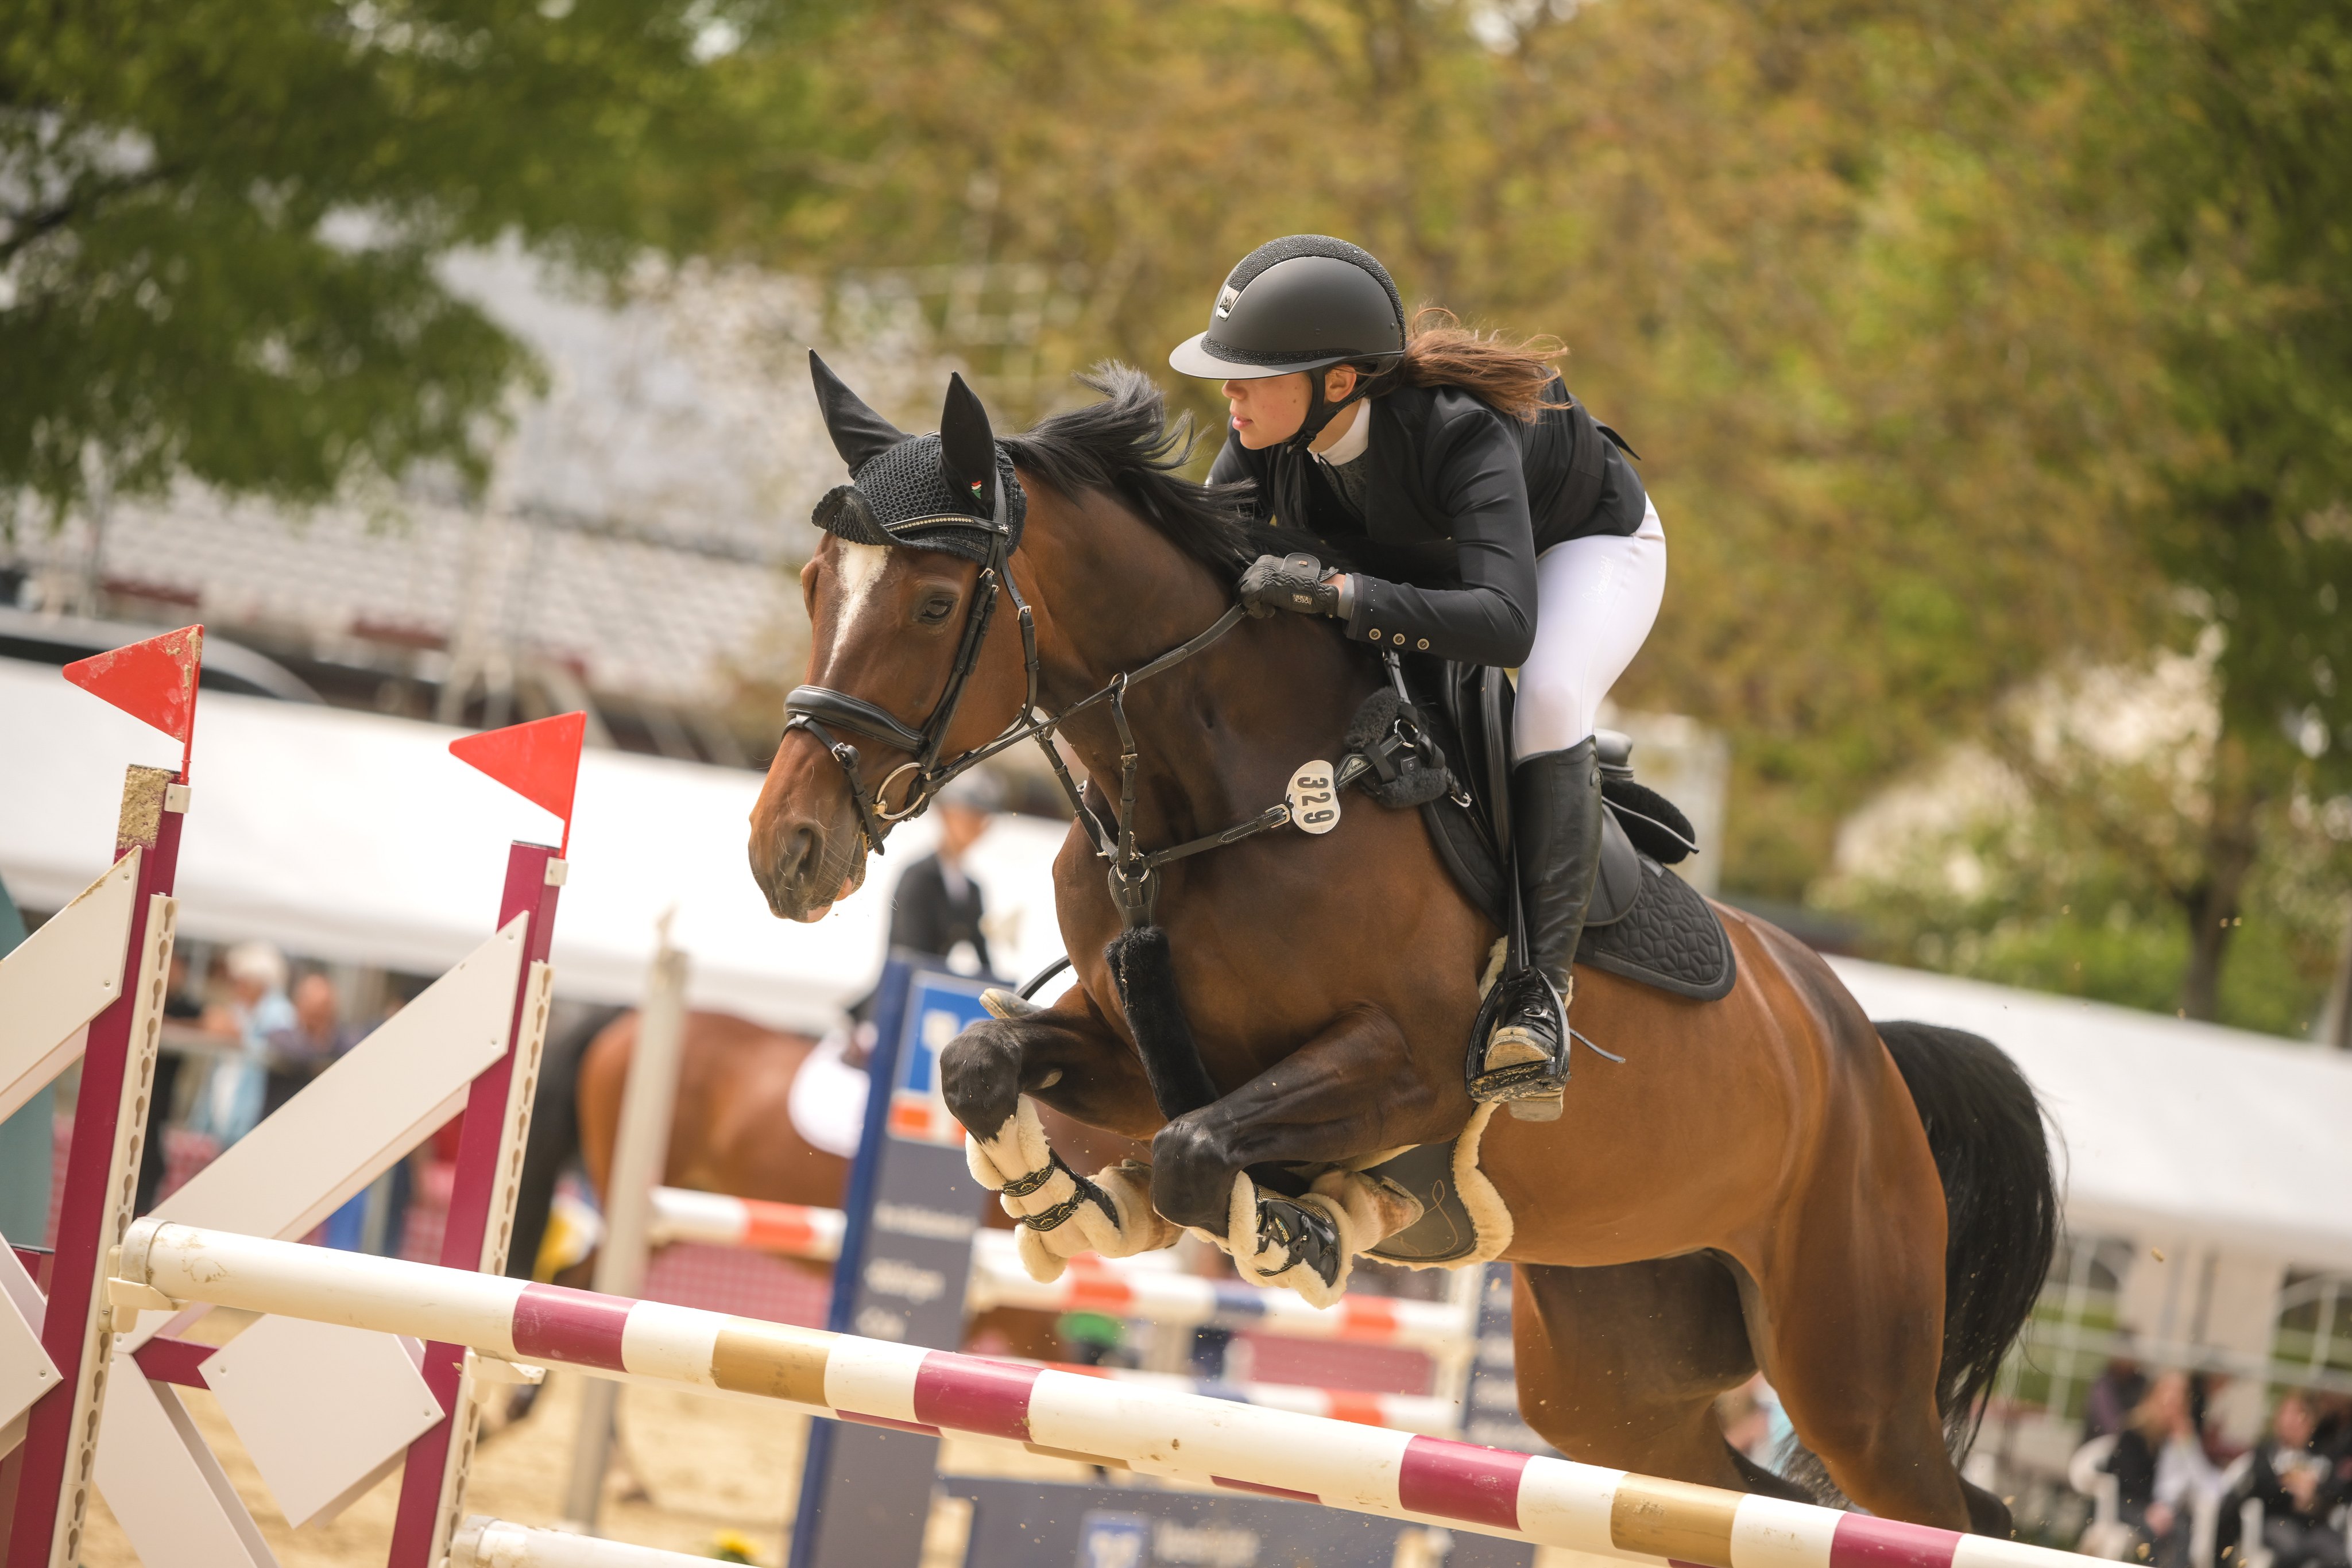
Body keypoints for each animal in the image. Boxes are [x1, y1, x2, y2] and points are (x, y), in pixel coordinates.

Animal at [743, 359, 2051, 1532]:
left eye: (931, 603)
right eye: (813, 584)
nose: (785, 851)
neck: (1216, 787)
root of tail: (1864, 1047)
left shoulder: (1409, 1068)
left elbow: (1199, 1153)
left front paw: (1301, 1225)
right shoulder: (1141, 1050)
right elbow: (986, 1067)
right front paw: (1073, 1201)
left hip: (1849, 1363)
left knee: (1938, 1508)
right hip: (1614, 1375)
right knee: (1736, 1496)